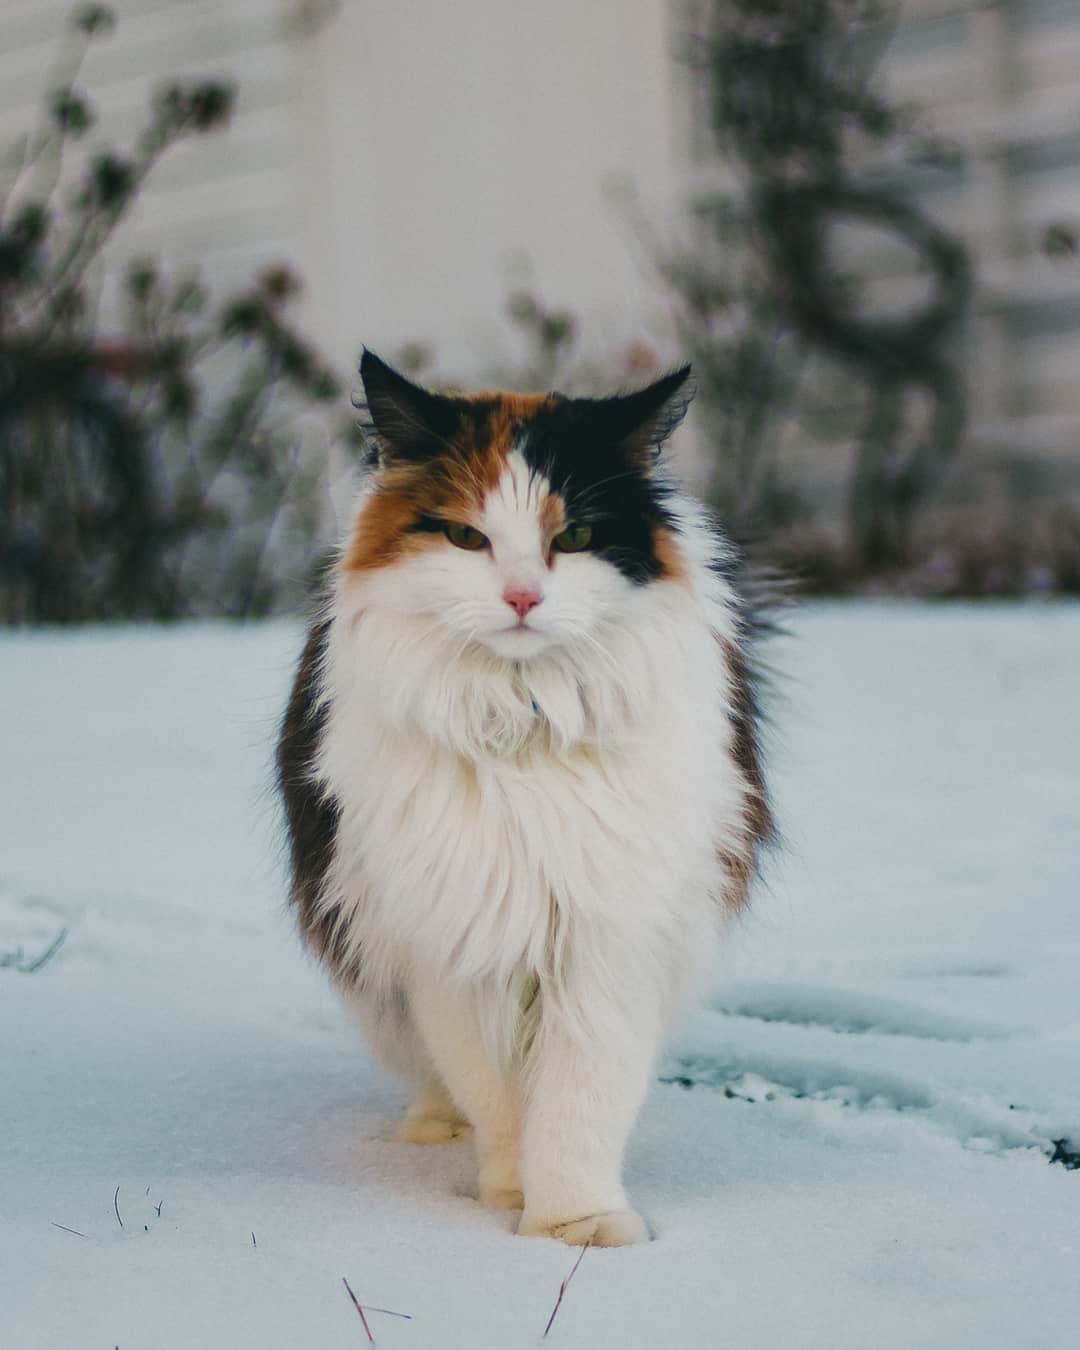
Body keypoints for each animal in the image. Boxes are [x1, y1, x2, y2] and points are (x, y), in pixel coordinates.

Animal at [274, 348, 772, 1242]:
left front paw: (580, 1225)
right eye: (468, 536)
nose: (522, 599)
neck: (525, 720)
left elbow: (580, 1099)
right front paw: (513, 1197)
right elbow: (496, 1092)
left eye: (572, 537)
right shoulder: (454, 937)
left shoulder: (610, 932)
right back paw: (435, 1132)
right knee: (437, 1079)